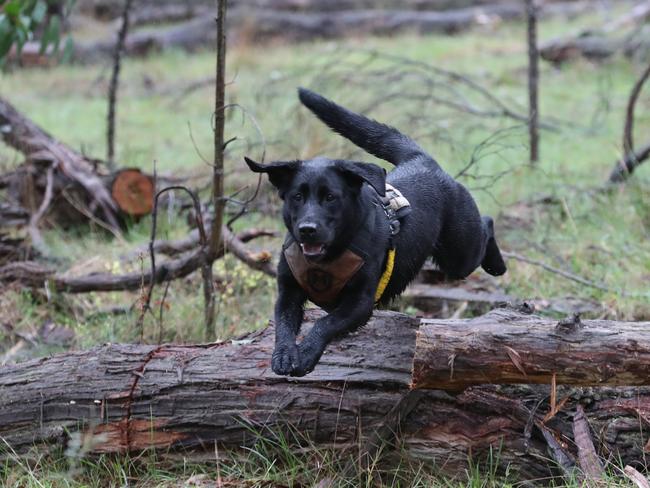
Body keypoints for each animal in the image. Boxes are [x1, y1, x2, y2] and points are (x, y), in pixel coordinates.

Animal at [246, 88, 504, 378]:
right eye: (297, 197)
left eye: (331, 197)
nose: (307, 230)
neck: (329, 258)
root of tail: (422, 160)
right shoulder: (288, 292)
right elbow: (283, 324)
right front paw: (284, 354)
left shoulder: (359, 304)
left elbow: (325, 322)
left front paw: (308, 354)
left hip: (460, 253)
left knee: (487, 223)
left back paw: (497, 264)